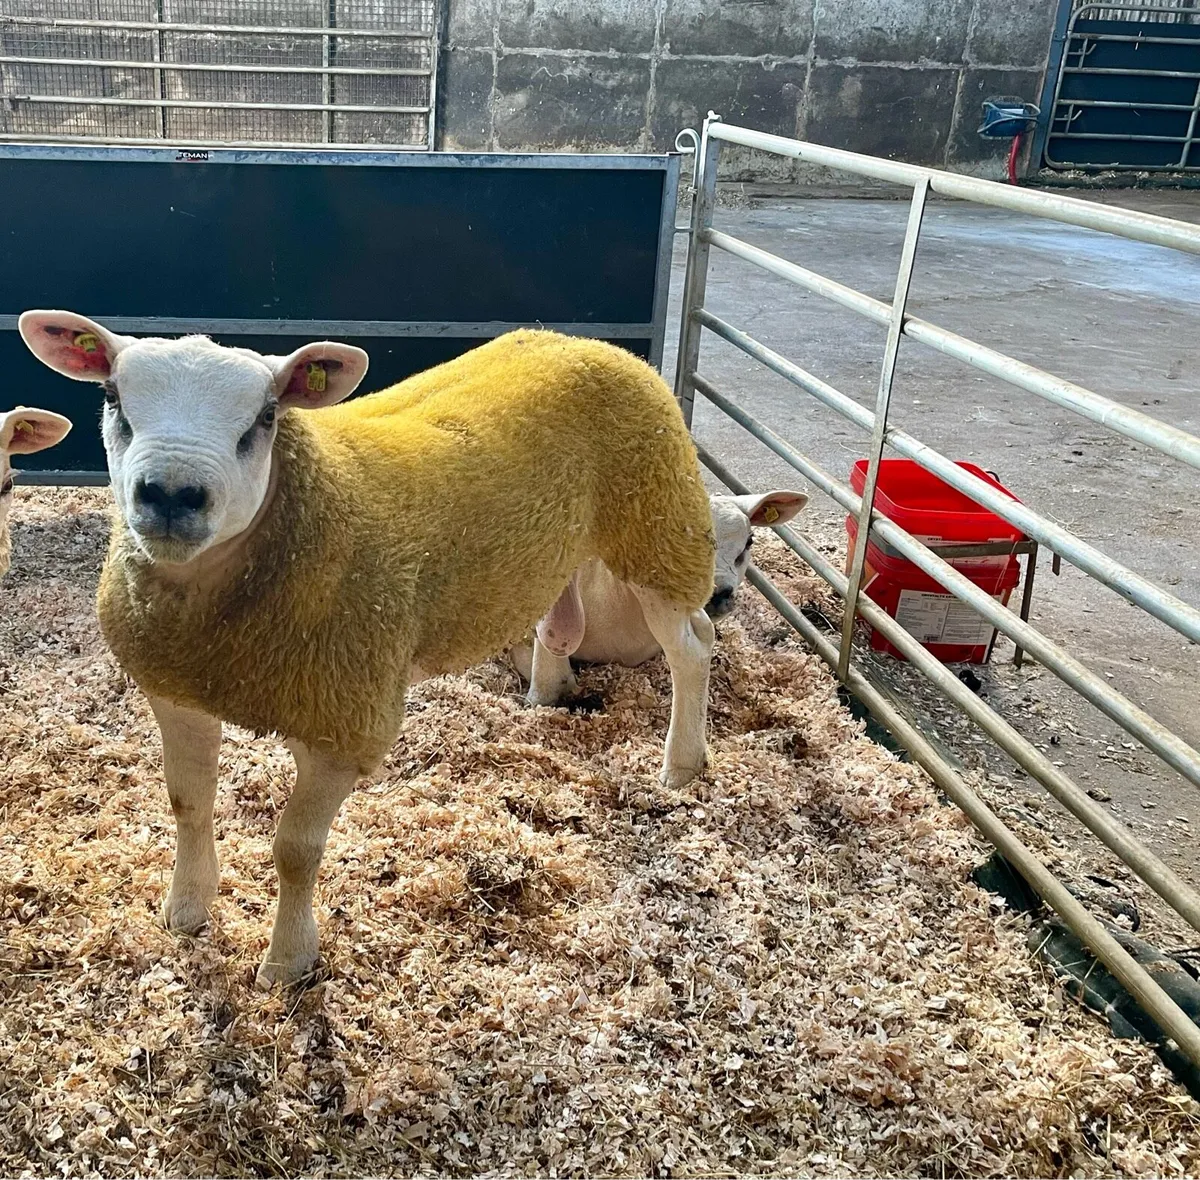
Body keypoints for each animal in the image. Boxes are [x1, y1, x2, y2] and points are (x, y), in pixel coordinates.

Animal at [19, 311, 717, 987]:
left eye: (266, 416)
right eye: (112, 396)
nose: (171, 495)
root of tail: (586, 344)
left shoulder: (343, 721)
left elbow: (295, 852)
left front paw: (288, 964)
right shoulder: (177, 689)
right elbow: (188, 804)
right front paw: (186, 913)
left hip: (658, 525)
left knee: (693, 645)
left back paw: (681, 765)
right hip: (568, 544)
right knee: (560, 621)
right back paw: (549, 694)